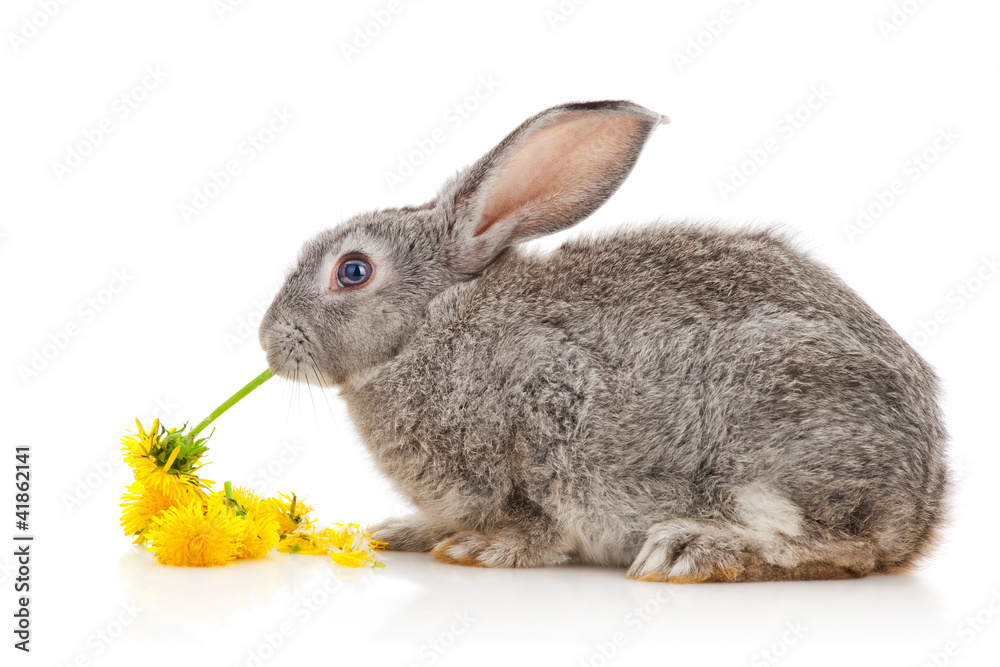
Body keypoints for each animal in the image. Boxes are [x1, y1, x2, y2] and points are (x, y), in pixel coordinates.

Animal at [259, 100, 948, 582]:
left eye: (353, 271)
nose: (269, 343)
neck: (433, 325)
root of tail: (924, 505)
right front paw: (405, 532)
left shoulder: (545, 409)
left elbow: (536, 513)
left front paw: (485, 548)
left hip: (779, 435)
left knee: (846, 546)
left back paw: (692, 549)